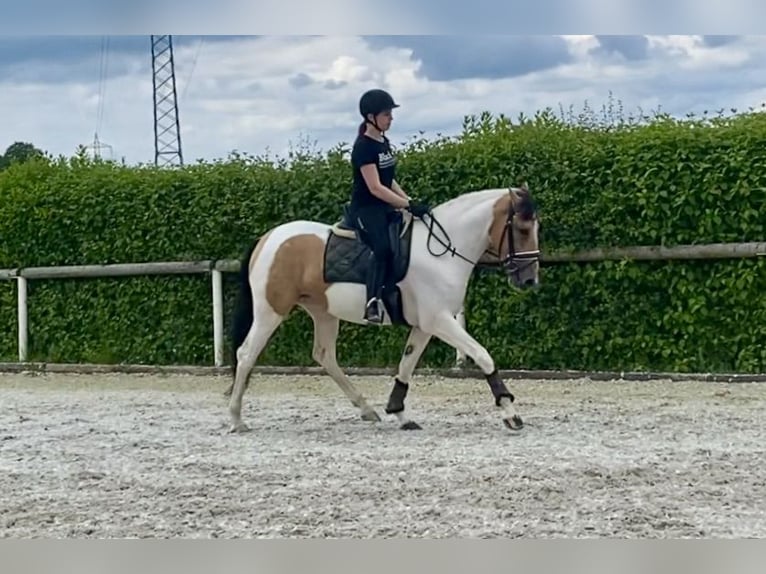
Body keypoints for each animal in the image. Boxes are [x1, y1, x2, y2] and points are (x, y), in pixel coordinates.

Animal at [225, 183, 544, 432]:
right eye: (522, 228)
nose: (529, 279)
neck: (442, 252)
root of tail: (267, 238)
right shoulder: (440, 320)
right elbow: (483, 355)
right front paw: (510, 412)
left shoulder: (426, 324)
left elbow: (406, 364)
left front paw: (399, 412)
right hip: (270, 311)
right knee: (246, 353)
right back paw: (236, 419)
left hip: (323, 312)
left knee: (325, 355)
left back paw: (367, 409)